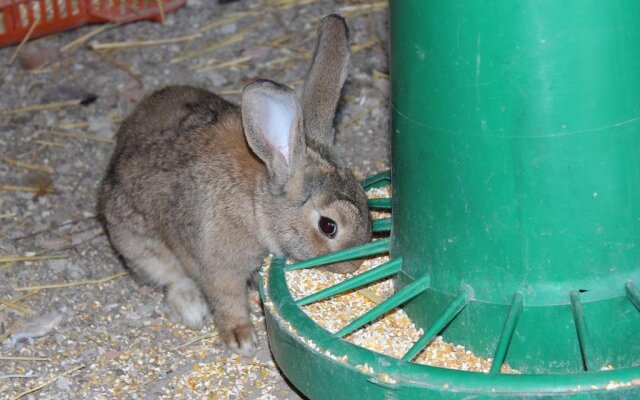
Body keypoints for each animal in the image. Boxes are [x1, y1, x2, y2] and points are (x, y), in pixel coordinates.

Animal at [97, 14, 372, 356]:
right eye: (328, 227)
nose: (354, 265)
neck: (257, 205)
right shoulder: (218, 266)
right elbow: (226, 299)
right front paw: (241, 338)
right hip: (138, 245)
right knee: (171, 279)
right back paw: (192, 309)